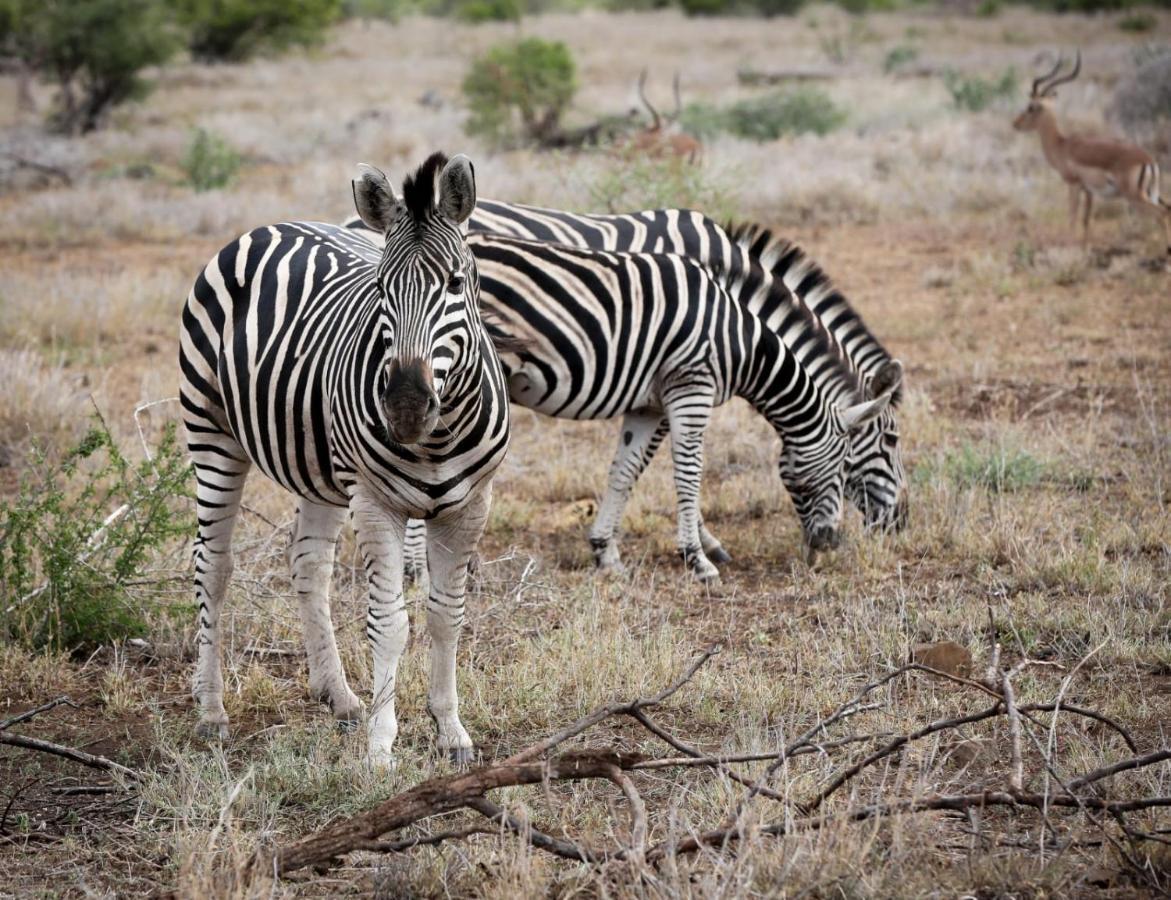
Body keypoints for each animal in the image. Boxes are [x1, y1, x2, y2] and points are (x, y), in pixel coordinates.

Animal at [180, 154, 510, 767]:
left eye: (455, 283)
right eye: (380, 287)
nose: (405, 406)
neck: (437, 437)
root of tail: (272, 225)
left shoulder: (471, 505)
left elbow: (445, 616)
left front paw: (450, 730)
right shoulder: (376, 502)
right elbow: (391, 623)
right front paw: (383, 746)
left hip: (320, 471)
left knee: (308, 566)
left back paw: (339, 696)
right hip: (210, 432)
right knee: (212, 566)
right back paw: (212, 711)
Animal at [1016, 51, 1171, 256]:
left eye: (1031, 107)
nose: (1015, 123)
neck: (1062, 145)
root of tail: (1148, 161)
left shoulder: (1073, 184)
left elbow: (1072, 216)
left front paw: (1069, 248)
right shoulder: (1088, 190)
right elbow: (1086, 220)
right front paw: (1084, 249)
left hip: (1134, 196)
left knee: (1162, 213)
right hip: (1151, 193)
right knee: (1167, 208)